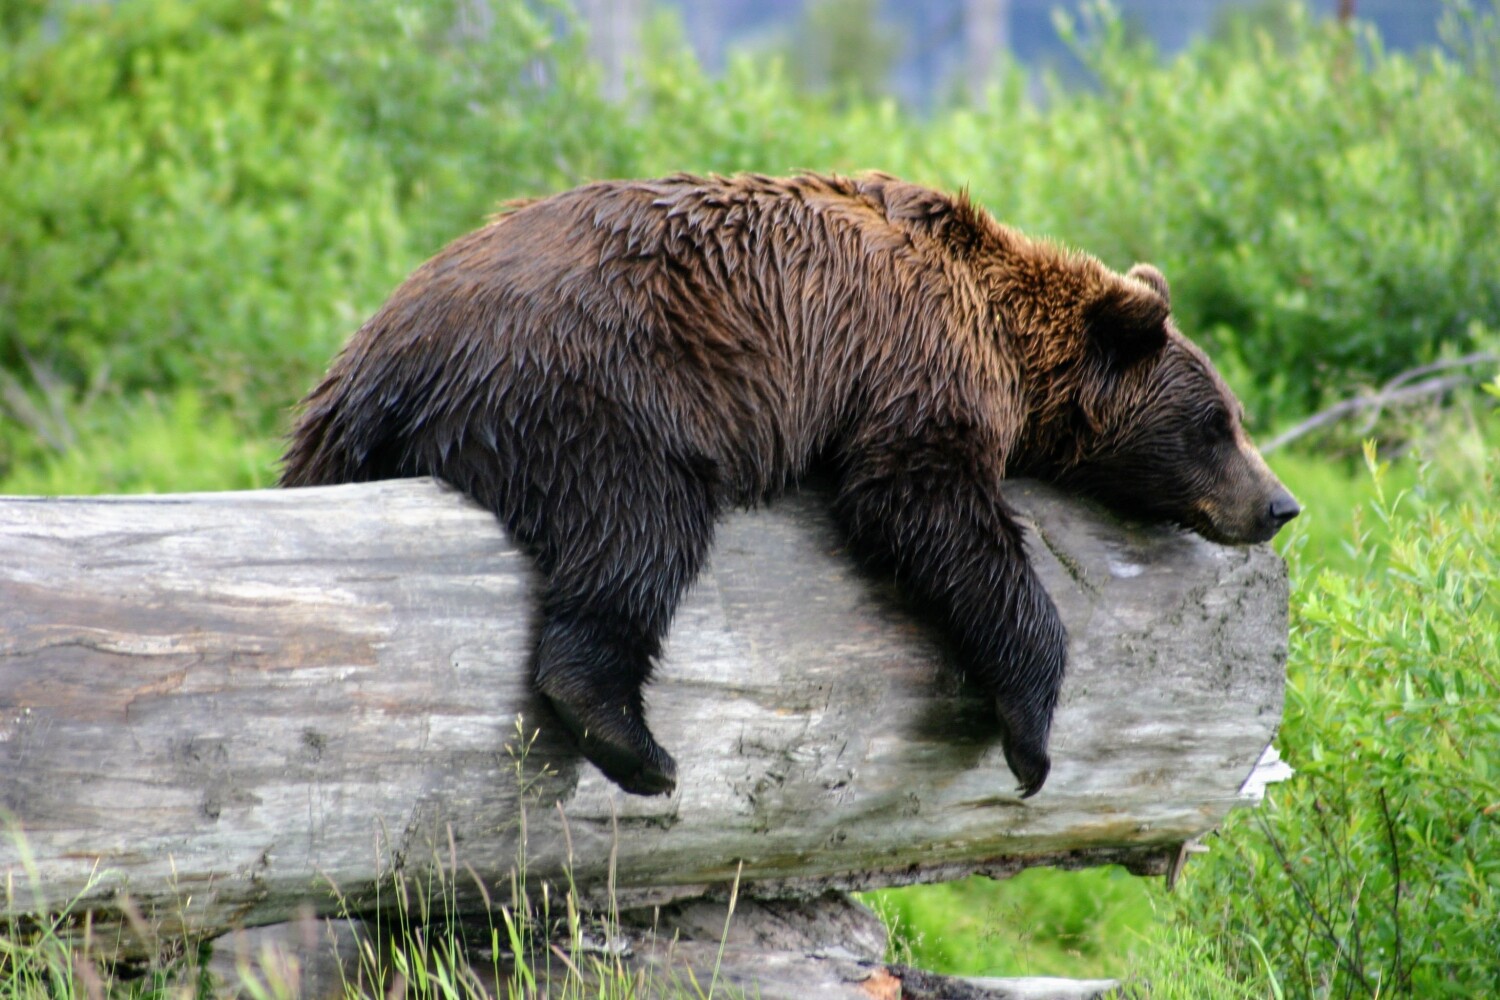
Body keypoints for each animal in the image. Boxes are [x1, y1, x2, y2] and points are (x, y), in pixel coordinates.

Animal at [281, 172, 1299, 799]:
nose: (1280, 504)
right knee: (636, 533)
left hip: (334, 440)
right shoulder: (912, 362)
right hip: (589, 390)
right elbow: (929, 508)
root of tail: (382, 362)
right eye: (1217, 424)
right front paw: (1031, 737)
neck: (1003, 331)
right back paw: (638, 747)